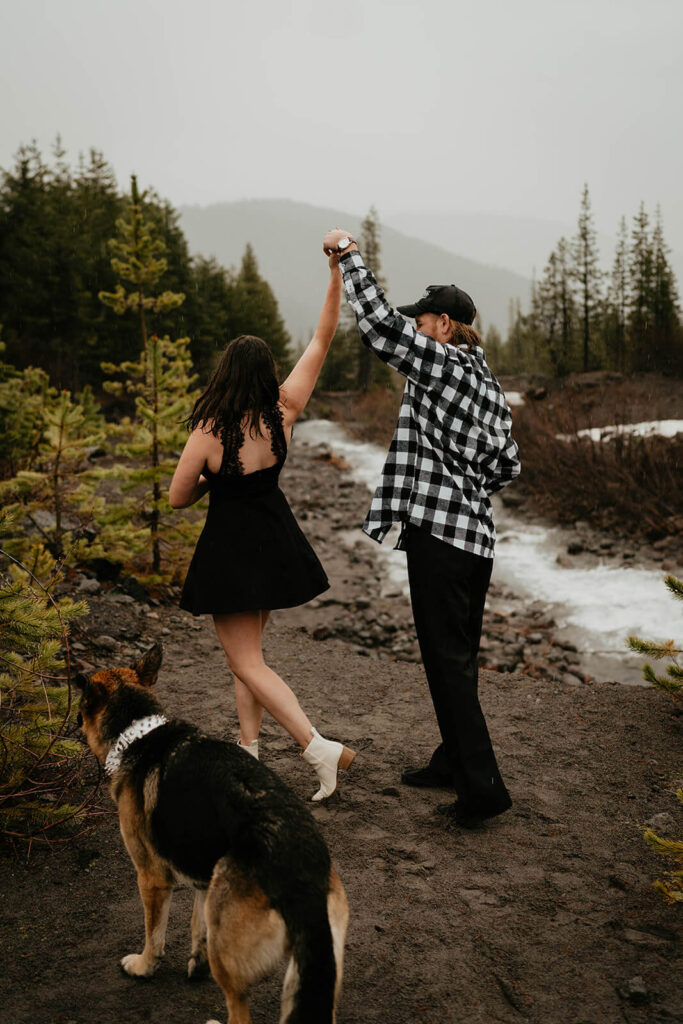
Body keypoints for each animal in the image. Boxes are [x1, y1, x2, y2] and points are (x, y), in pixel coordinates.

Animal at [77, 647, 350, 1024]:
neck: (139, 732)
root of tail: (300, 873)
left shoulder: (152, 878)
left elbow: (154, 935)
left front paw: (144, 966)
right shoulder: (205, 878)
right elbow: (196, 925)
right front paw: (196, 963)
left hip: (231, 950)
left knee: (239, 1011)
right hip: (317, 973)